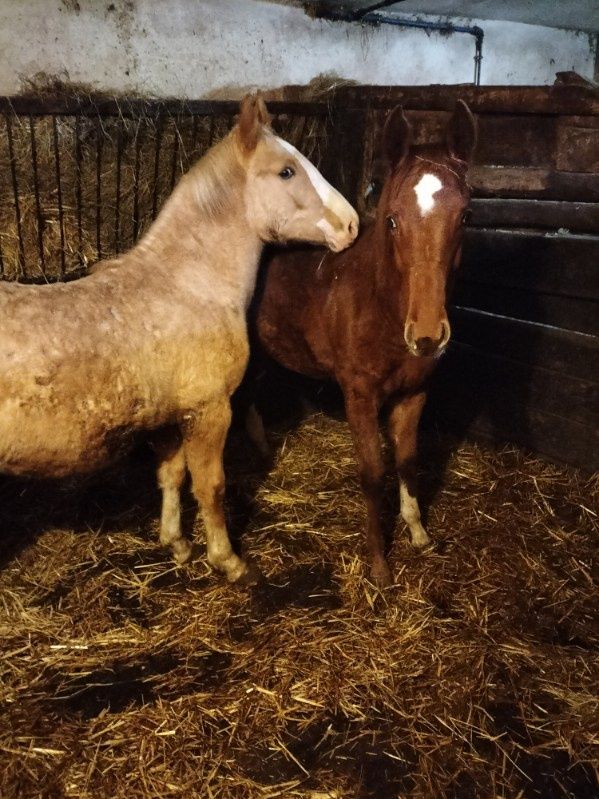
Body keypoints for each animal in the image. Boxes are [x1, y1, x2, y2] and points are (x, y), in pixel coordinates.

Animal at [0, 95, 356, 580]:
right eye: (286, 171)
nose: (352, 225)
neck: (188, 286)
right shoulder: (210, 410)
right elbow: (211, 486)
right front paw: (227, 559)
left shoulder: (169, 418)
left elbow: (171, 476)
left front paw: (178, 543)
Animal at [254, 101, 478, 588]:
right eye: (391, 219)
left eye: (466, 217)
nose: (427, 335)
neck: (379, 307)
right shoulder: (358, 396)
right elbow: (373, 474)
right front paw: (378, 563)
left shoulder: (415, 394)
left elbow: (408, 461)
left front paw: (419, 534)